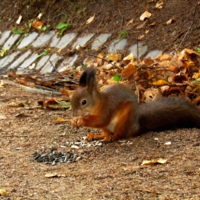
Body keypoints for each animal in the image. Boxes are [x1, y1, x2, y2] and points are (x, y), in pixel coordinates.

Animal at [70, 67, 200, 141]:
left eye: (83, 102)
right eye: (71, 99)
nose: (74, 113)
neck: (98, 105)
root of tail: (136, 126)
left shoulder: (107, 109)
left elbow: (101, 120)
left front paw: (81, 120)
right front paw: (74, 120)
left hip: (125, 118)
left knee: (121, 133)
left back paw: (113, 137)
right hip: (111, 126)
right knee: (106, 132)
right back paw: (98, 136)